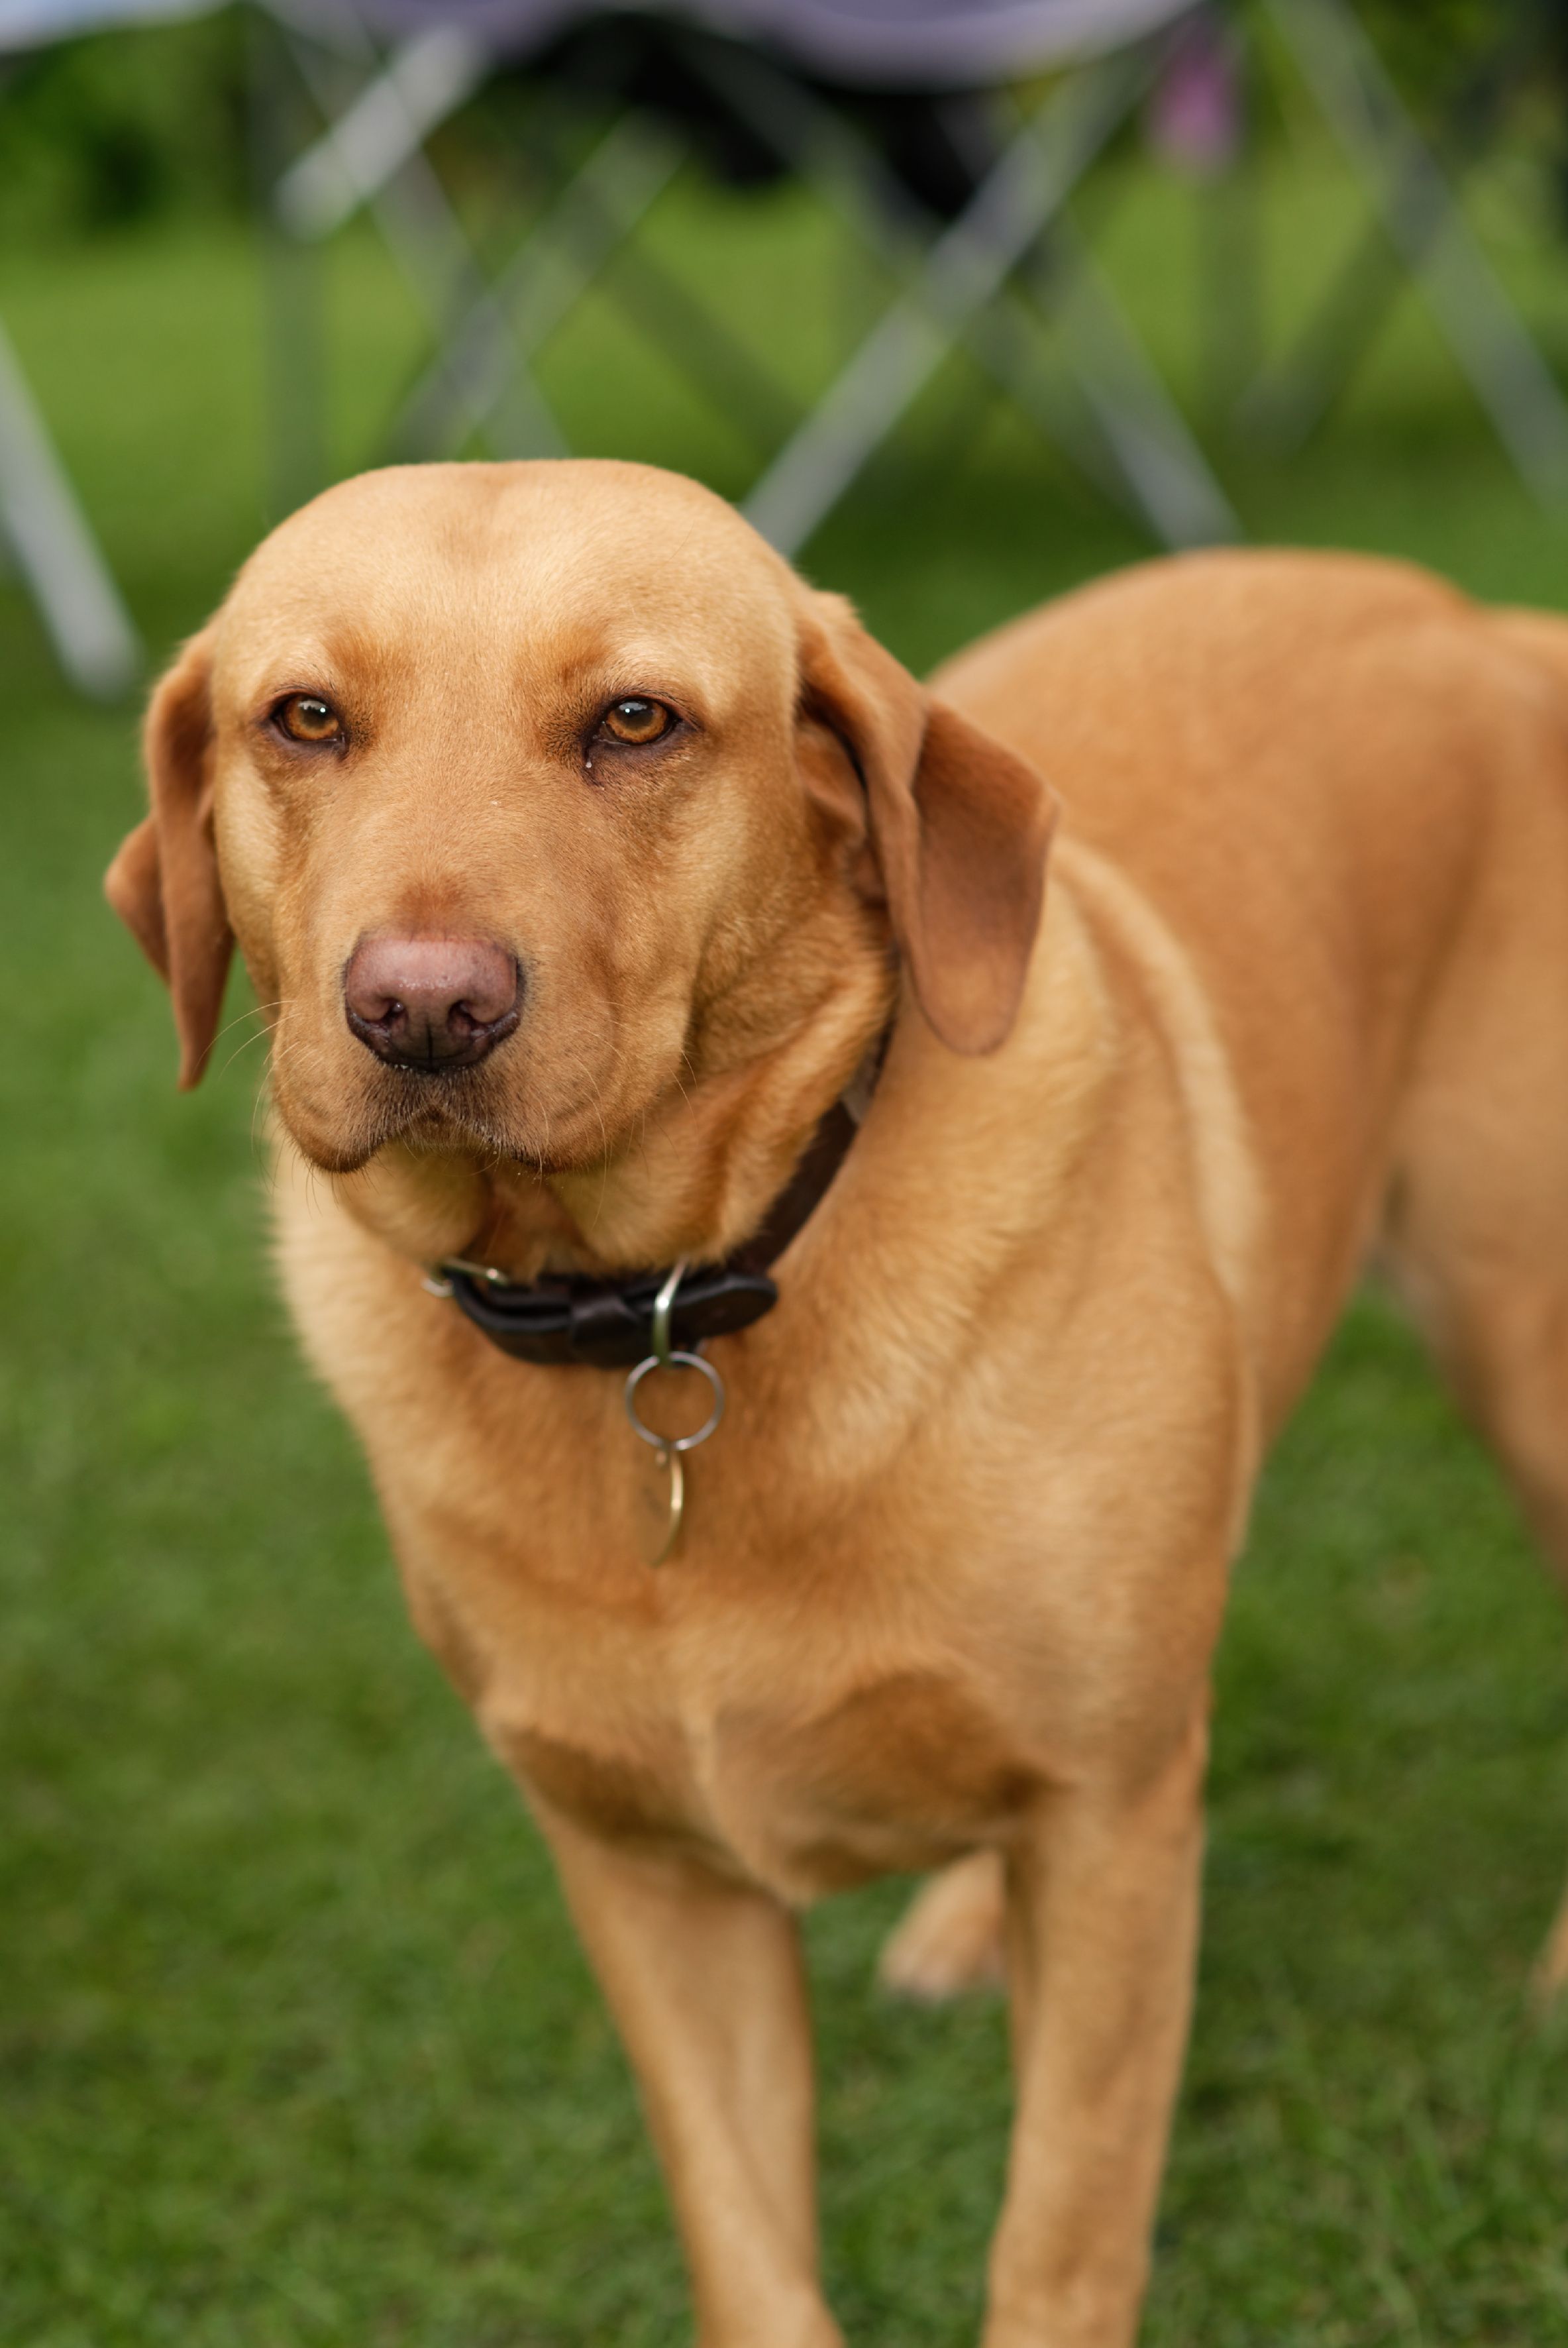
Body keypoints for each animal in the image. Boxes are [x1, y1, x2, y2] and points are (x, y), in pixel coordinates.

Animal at [106, 458, 1568, 2347]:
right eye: (303, 719)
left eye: (636, 720)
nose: (421, 1007)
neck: (661, 1311)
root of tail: (1469, 615)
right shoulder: (653, 1875)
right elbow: (750, 2254)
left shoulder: (1108, 1828)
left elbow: (1060, 2239)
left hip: (1526, 1345)